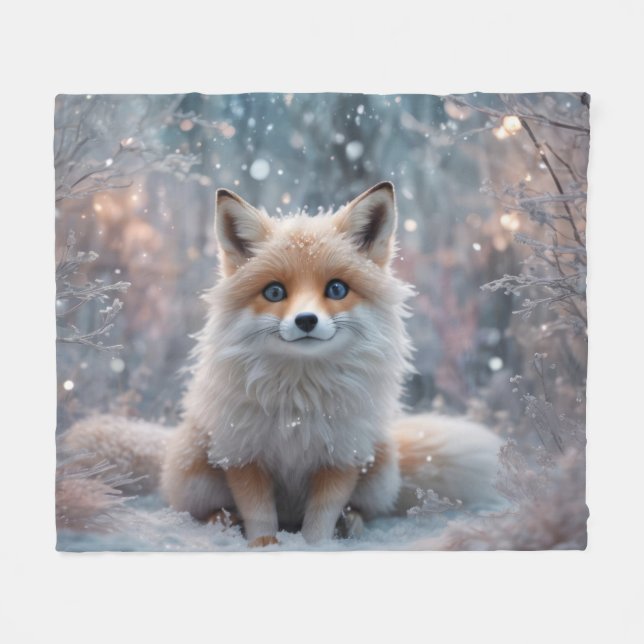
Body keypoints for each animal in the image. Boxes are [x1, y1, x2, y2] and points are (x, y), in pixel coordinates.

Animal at [64, 182, 503, 547]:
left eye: (336, 289)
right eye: (274, 292)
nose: (305, 321)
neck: (299, 401)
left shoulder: (340, 456)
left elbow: (319, 520)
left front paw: (315, 547)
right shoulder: (244, 454)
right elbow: (259, 518)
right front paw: (264, 547)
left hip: (378, 469)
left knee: (364, 509)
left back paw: (352, 523)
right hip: (197, 471)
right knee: (201, 511)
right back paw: (221, 522)